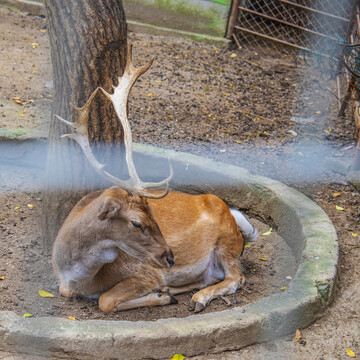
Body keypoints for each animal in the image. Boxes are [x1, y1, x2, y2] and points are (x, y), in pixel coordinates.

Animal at [52, 47, 258, 312]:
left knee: (237, 277)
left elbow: (105, 300)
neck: (73, 275)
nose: (170, 258)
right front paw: (164, 293)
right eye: (137, 223)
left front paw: (160, 295)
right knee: (212, 277)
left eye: (153, 213)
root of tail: (237, 223)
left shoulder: (146, 273)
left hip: (226, 243)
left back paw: (197, 299)